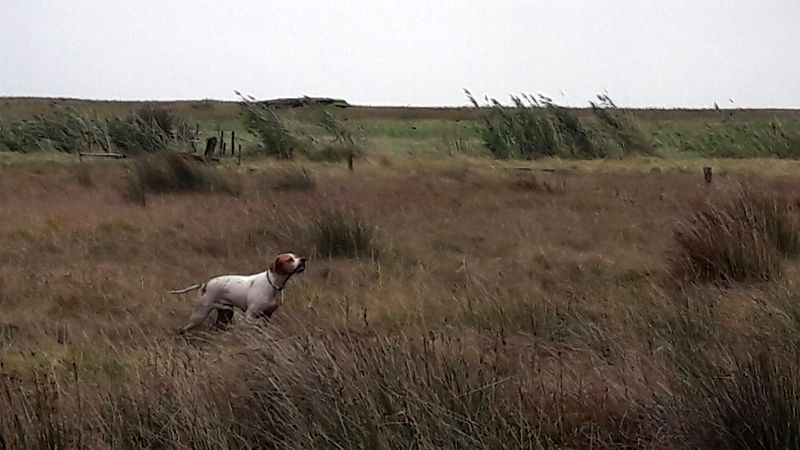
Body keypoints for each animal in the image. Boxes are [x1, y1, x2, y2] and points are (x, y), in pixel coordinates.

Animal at [169, 253, 306, 334]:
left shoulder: (267, 315)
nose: (304, 259)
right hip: (200, 313)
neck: (273, 284)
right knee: (182, 328)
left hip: (225, 313)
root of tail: (205, 284)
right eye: (289, 259)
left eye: (296, 256)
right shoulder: (250, 316)